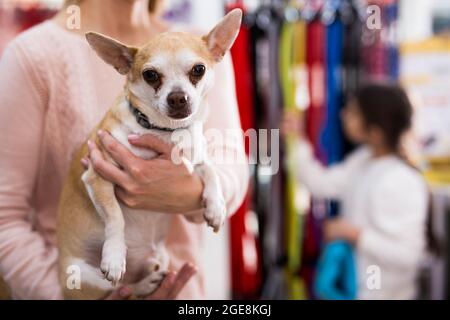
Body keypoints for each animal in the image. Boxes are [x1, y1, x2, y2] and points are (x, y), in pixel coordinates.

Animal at [58, 9, 244, 300]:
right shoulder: (97, 175)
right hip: (84, 277)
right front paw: (114, 256)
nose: (178, 97)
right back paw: (140, 283)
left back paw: (149, 281)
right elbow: (115, 216)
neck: (163, 132)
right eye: (151, 75)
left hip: (160, 257)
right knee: (118, 290)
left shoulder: (195, 159)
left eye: (199, 70)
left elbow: (211, 170)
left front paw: (216, 207)